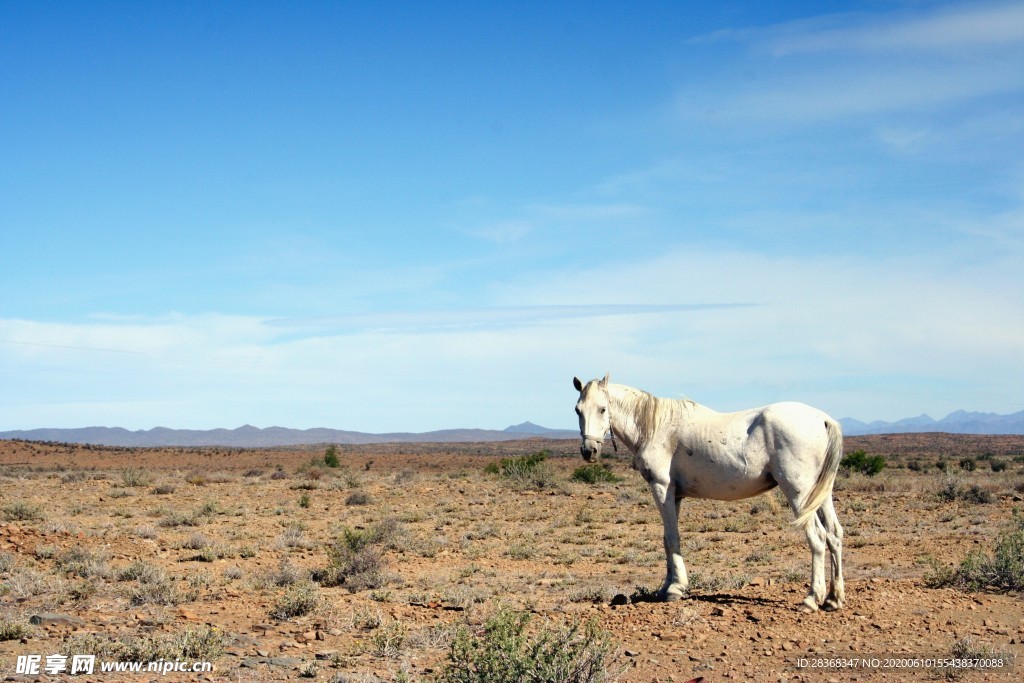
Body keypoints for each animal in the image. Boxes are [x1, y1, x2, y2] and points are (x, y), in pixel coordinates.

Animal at [573, 373, 845, 612]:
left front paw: (675, 589)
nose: (589, 451)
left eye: (603, 409)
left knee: (817, 537)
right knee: (834, 534)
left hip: (799, 494)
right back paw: (834, 599)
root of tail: (823, 420)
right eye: (578, 410)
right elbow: (667, 539)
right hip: (821, 495)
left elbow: (672, 537)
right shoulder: (675, 495)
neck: (656, 428)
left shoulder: (661, 488)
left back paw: (811, 599)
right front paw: (666, 587)